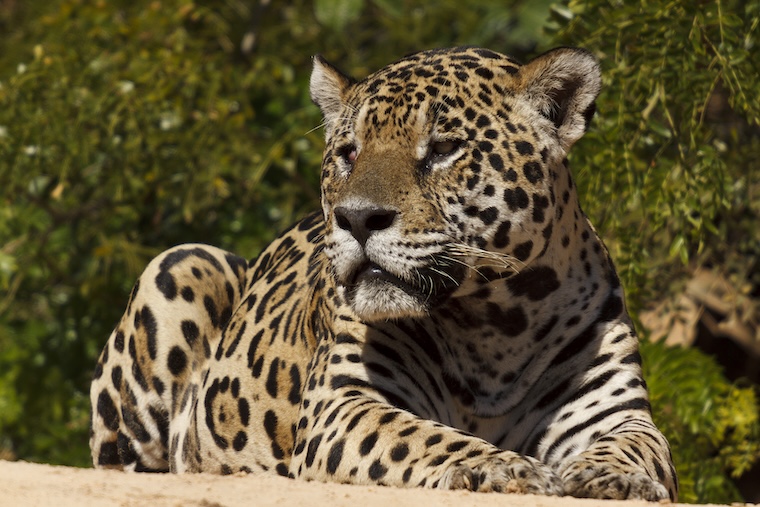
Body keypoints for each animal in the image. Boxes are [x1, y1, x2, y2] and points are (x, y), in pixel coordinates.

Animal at [90, 46, 678, 501]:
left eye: (443, 149)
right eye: (348, 153)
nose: (356, 218)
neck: (495, 324)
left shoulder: (612, 410)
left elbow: (642, 444)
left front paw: (613, 477)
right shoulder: (344, 401)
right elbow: (419, 436)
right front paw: (501, 466)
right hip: (182, 262)